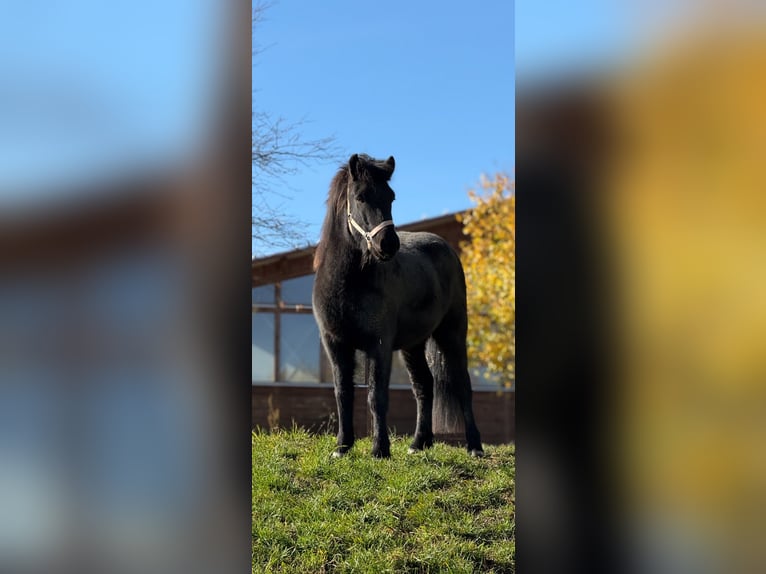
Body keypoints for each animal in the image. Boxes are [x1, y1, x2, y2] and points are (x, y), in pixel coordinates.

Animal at [312, 153, 483, 458]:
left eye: (390, 196)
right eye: (360, 196)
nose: (388, 244)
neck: (348, 284)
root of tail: (445, 248)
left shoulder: (379, 345)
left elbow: (376, 396)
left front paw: (380, 449)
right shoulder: (335, 344)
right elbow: (343, 392)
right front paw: (342, 447)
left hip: (451, 334)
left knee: (462, 385)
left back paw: (474, 446)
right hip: (413, 345)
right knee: (424, 386)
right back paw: (419, 443)